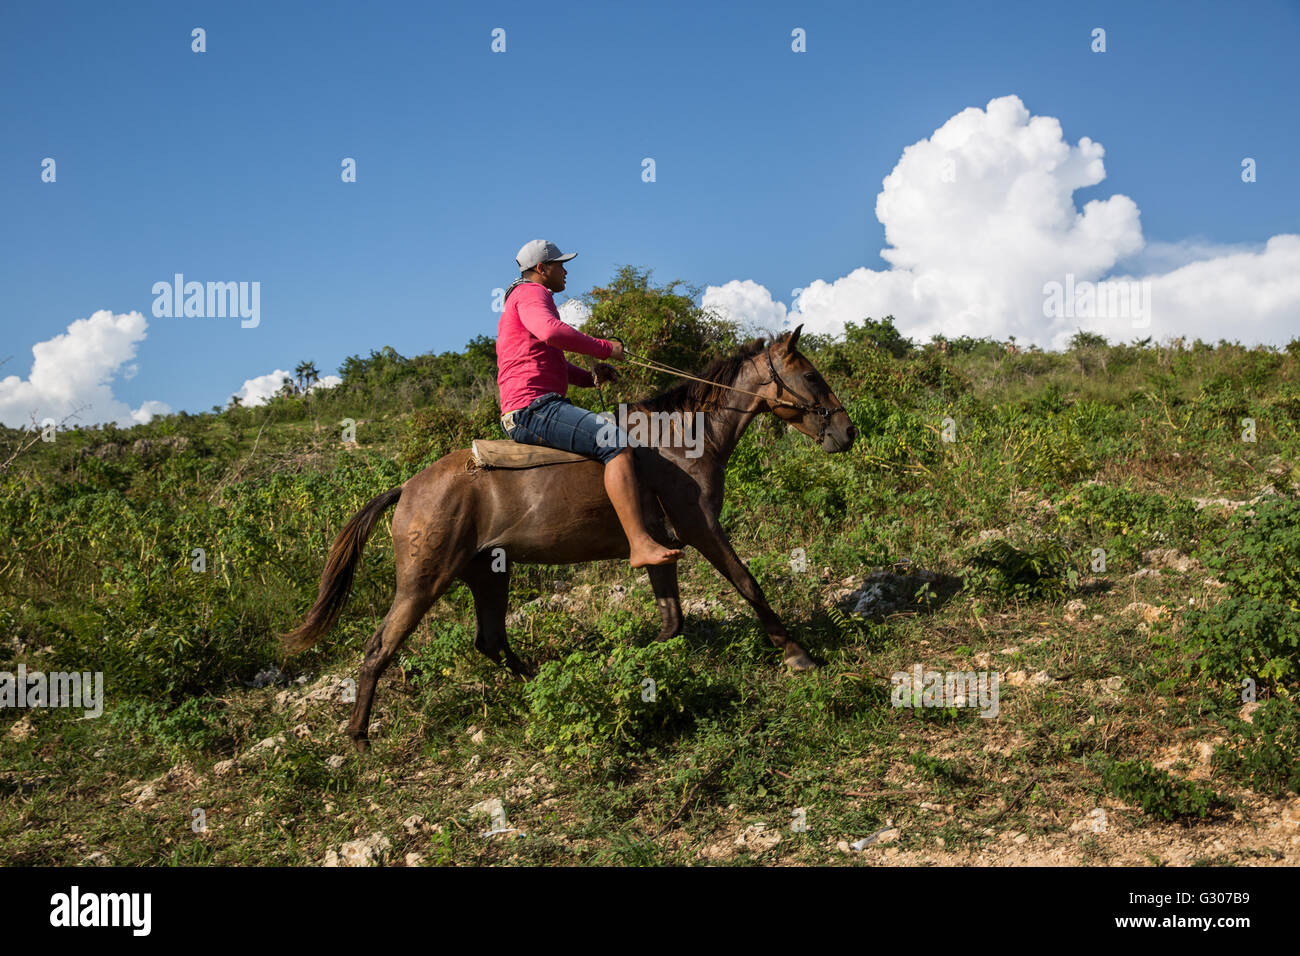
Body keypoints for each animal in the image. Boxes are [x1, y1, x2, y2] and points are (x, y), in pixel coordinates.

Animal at [282, 324, 858, 752]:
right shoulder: (701, 528)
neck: (683, 438)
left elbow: (671, 622)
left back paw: (537, 683)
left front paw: (626, 662)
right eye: (810, 374)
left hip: (488, 572)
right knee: (380, 648)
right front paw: (797, 653)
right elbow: (747, 584)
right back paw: (359, 738)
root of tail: (407, 487)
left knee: (490, 639)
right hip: (424, 580)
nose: (847, 432)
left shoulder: (663, 550)